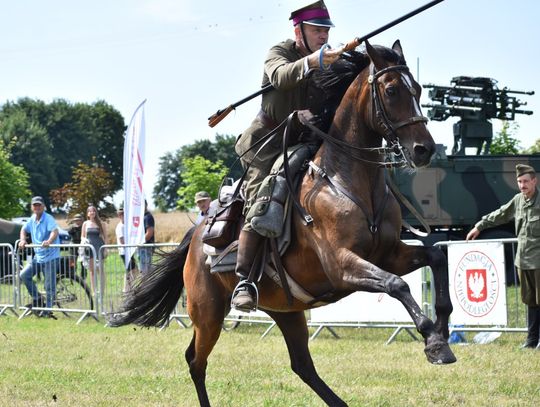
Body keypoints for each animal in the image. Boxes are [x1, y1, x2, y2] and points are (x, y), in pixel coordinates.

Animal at [113, 42, 456, 407]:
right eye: (391, 90)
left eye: (417, 90)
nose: (424, 149)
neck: (346, 179)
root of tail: (196, 237)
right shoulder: (342, 265)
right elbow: (397, 285)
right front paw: (434, 342)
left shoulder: (389, 254)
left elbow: (436, 257)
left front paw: (443, 328)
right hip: (208, 314)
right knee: (196, 360)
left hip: (286, 311)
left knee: (302, 365)